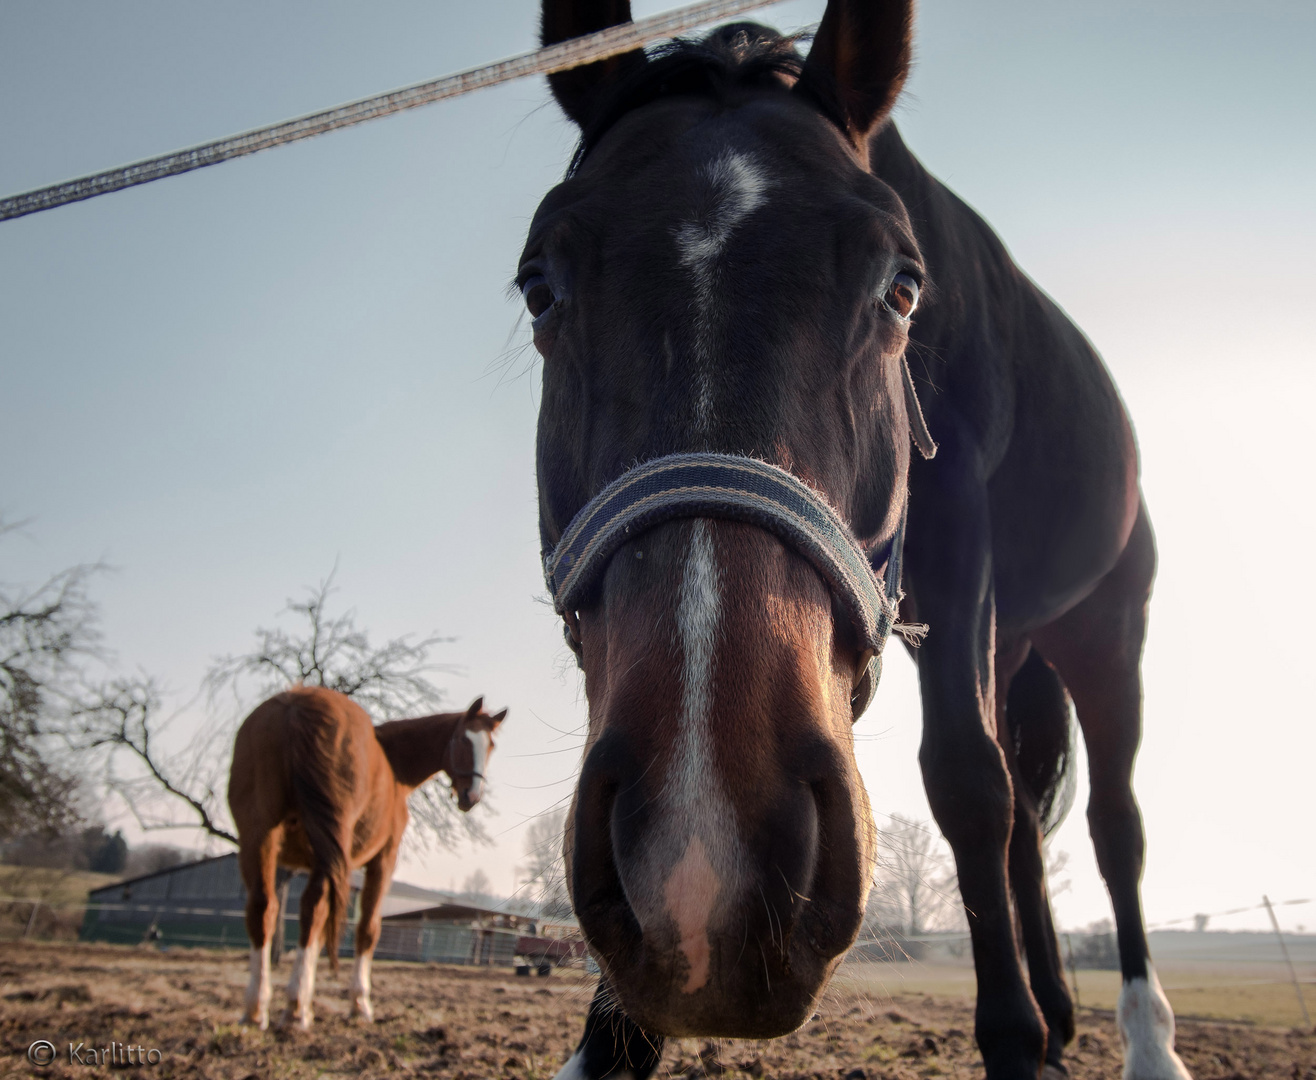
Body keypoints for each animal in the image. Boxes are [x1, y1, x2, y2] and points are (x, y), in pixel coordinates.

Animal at [226, 689, 502, 1031]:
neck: (394, 766)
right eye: (464, 739)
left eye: (490, 746)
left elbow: (321, 930)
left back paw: (256, 1008)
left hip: (257, 837)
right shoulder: (383, 859)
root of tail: (299, 703)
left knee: (263, 908)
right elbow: (366, 927)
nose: (471, 796)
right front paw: (359, 1003)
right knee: (311, 907)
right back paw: (296, 1010)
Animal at [523, 4, 1194, 1073]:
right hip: (1015, 648)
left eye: (902, 288)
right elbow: (996, 800)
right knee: (1027, 830)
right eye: (538, 287)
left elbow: (967, 780)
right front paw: (606, 1045)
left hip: (1104, 627)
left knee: (1111, 827)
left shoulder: (961, 537)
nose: (704, 858)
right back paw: (1058, 1014)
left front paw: (1011, 1038)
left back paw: (1144, 1040)